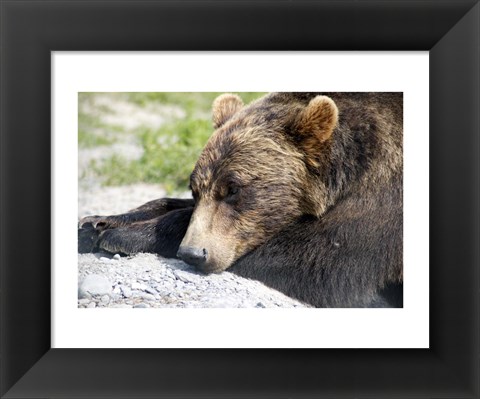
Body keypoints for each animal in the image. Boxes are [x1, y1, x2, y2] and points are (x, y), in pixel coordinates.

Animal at [79, 94, 402, 310]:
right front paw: (95, 223)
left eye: (233, 189)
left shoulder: (382, 196)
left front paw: (123, 235)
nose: (193, 253)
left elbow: (317, 261)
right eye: (195, 188)